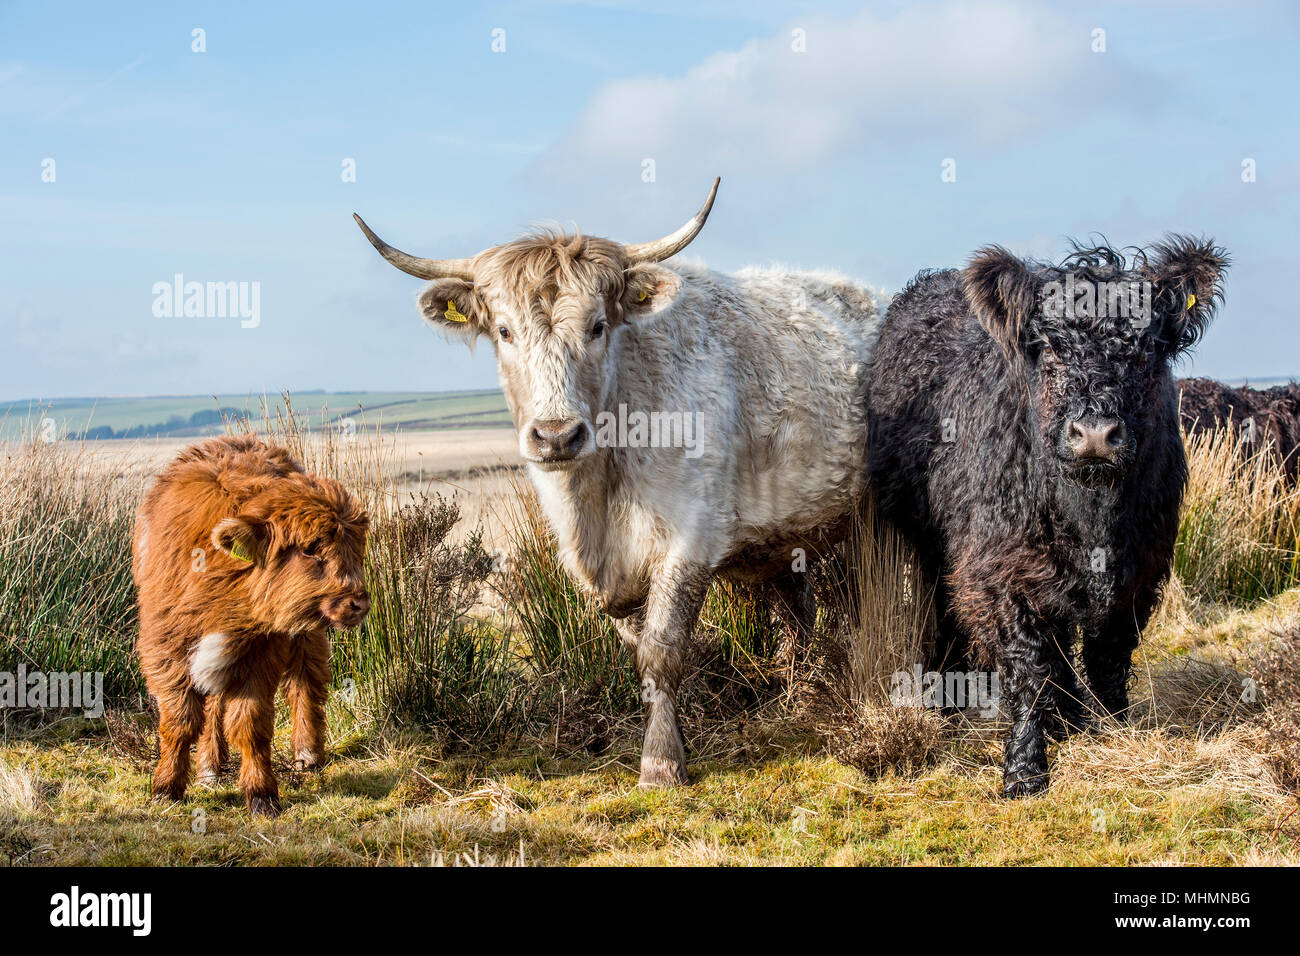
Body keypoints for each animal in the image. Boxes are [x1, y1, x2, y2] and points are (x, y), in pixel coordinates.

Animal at [133, 437, 366, 816]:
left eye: (356, 549)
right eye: (310, 549)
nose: (359, 602)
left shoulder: (261, 653)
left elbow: (251, 725)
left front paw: (261, 794)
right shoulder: (166, 650)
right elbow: (179, 722)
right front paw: (166, 788)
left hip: (304, 632)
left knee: (306, 682)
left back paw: (308, 757)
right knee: (214, 703)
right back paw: (209, 768)